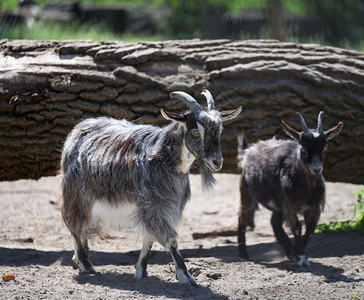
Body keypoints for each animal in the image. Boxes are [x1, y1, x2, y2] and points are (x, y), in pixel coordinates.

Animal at [59, 89, 242, 286]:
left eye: (219, 130)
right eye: (195, 131)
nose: (217, 161)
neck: (164, 156)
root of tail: (78, 130)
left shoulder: (167, 204)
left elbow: (149, 238)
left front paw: (141, 271)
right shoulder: (153, 202)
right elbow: (170, 238)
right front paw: (186, 276)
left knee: (82, 227)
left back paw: (77, 260)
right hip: (76, 192)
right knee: (74, 224)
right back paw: (86, 265)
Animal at [237, 111, 342, 266]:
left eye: (324, 148)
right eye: (304, 149)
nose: (316, 169)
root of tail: (248, 150)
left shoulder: (314, 206)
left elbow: (311, 229)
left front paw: (297, 252)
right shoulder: (289, 204)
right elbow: (297, 227)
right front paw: (301, 256)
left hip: (278, 205)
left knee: (274, 222)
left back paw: (287, 249)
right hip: (247, 193)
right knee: (242, 217)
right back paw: (243, 254)